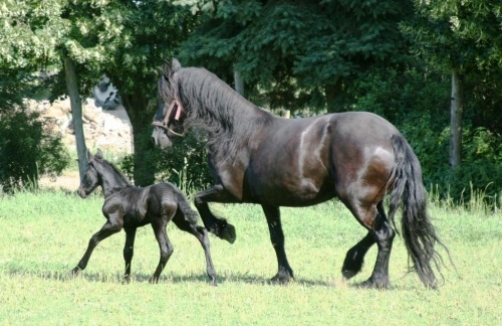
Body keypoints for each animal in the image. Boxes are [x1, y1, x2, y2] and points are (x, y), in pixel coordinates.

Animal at [71, 149, 216, 284]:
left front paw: (76, 269)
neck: (115, 192)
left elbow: (93, 239)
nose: (80, 192)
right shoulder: (130, 227)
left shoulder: (114, 224)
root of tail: (175, 192)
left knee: (166, 248)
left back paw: (153, 279)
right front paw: (126, 279)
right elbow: (128, 251)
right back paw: (212, 276)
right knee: (202, 235)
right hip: (181, 221)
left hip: (158, 223)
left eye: (86, 174)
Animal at [152, 58, 448, 288]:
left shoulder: (231, 192)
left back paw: (375, 280)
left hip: (357, 201)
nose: (156, 137)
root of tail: (392, 135)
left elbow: (199, 199)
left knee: (384, 233)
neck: (235, 132)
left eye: (164, 99)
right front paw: (282, 275)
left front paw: (224, 230)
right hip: (371, 201)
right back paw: (352, 264)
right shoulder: (268, 201)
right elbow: (277, 238)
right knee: (383, 232)